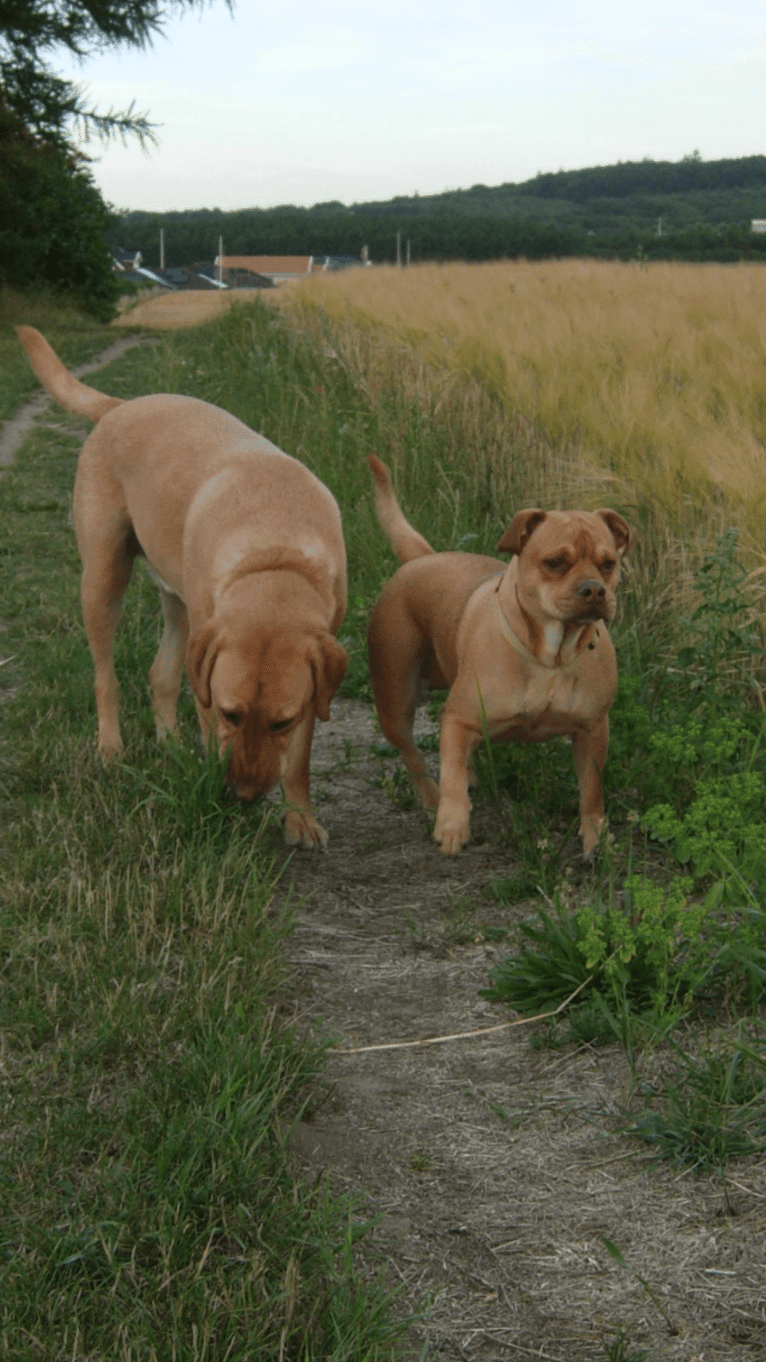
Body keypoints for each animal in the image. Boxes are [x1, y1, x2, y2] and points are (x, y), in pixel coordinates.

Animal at [17, 324, 346, 844]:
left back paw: (170, 744)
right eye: (232, 714)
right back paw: (111, 746)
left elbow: (299, 760)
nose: (244, 794)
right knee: (105, 677)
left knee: (162, 674)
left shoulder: (313, 690)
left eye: (282, 721)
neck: (275, 552)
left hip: (178, 606)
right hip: (105, 580)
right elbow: (209, 728)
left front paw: (300, 816)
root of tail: (120, 406)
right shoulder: (211, 682)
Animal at [368, 463, 629, 855]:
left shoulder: (593, 730)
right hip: (395, 699)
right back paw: (432, 798)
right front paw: (452, 824)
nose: (594, 589)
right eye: (554, 563)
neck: (550, 655)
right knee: (414, 754)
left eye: (608, 564)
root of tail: (422, 558)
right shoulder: (459, 717)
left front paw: (596, 838)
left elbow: (591, 792)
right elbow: (451, 776)